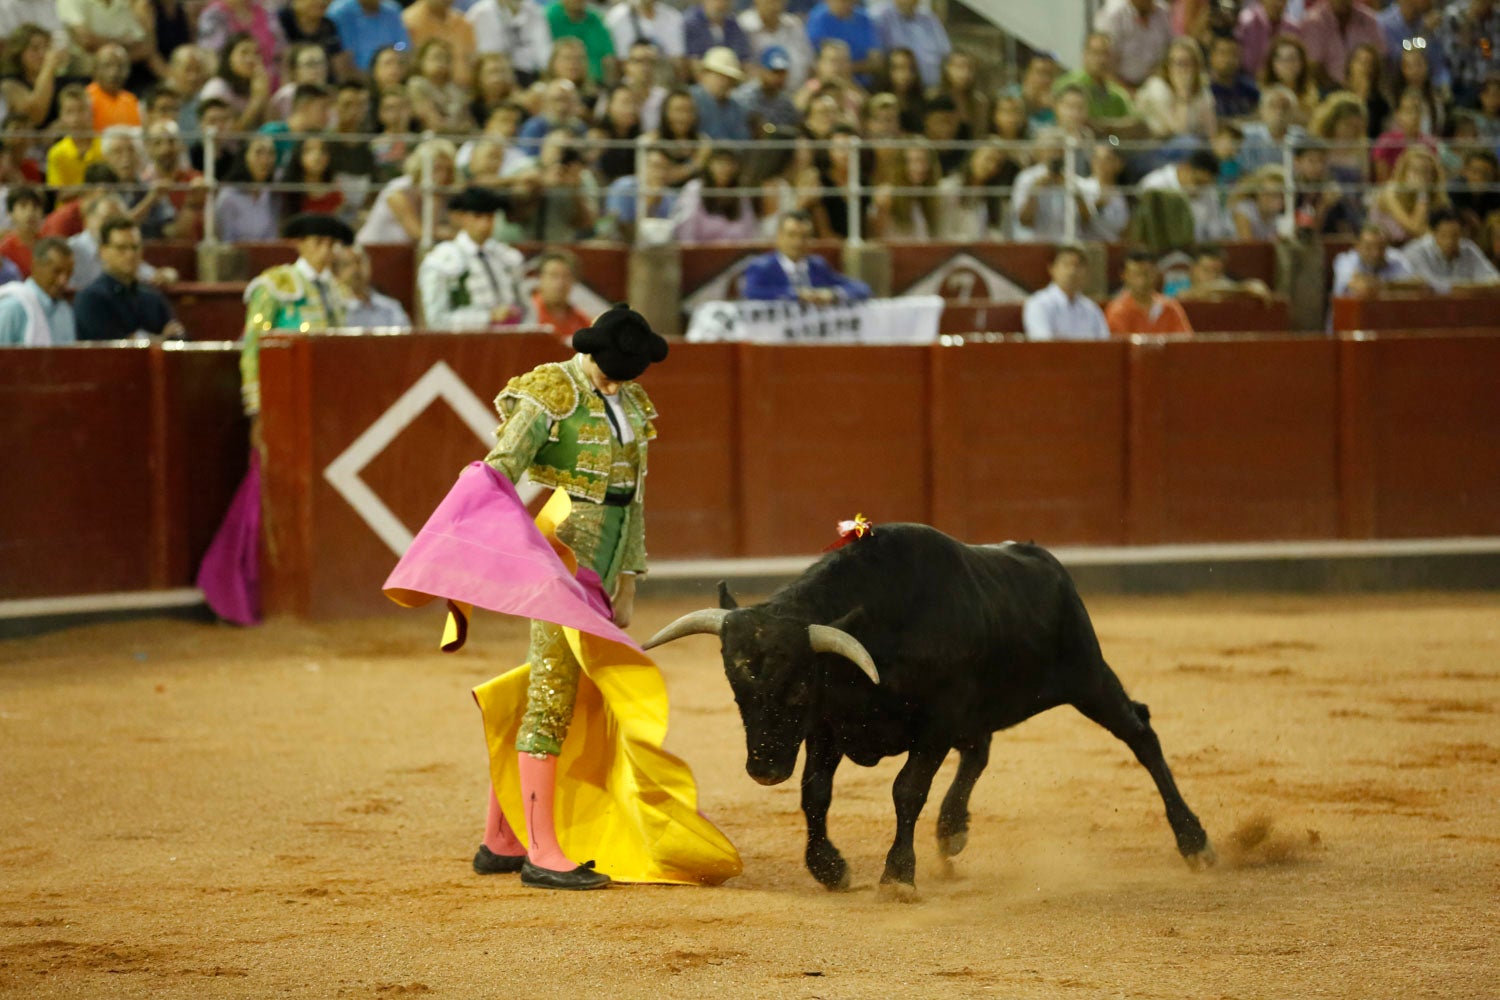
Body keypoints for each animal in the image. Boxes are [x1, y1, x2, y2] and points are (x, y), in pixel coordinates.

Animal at [648, 524, 1218, 899]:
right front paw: (830, 868)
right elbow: (815, 794)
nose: (763, 769)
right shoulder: (830, 727)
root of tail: (1043, 561)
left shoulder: (935, 724)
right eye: (737, 690)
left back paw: (1195, 842)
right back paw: (951, 829)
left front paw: (898, 875)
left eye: (797, 688)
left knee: (1140, 732)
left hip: (1088, 675)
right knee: (981, 750)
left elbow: (906, 791)